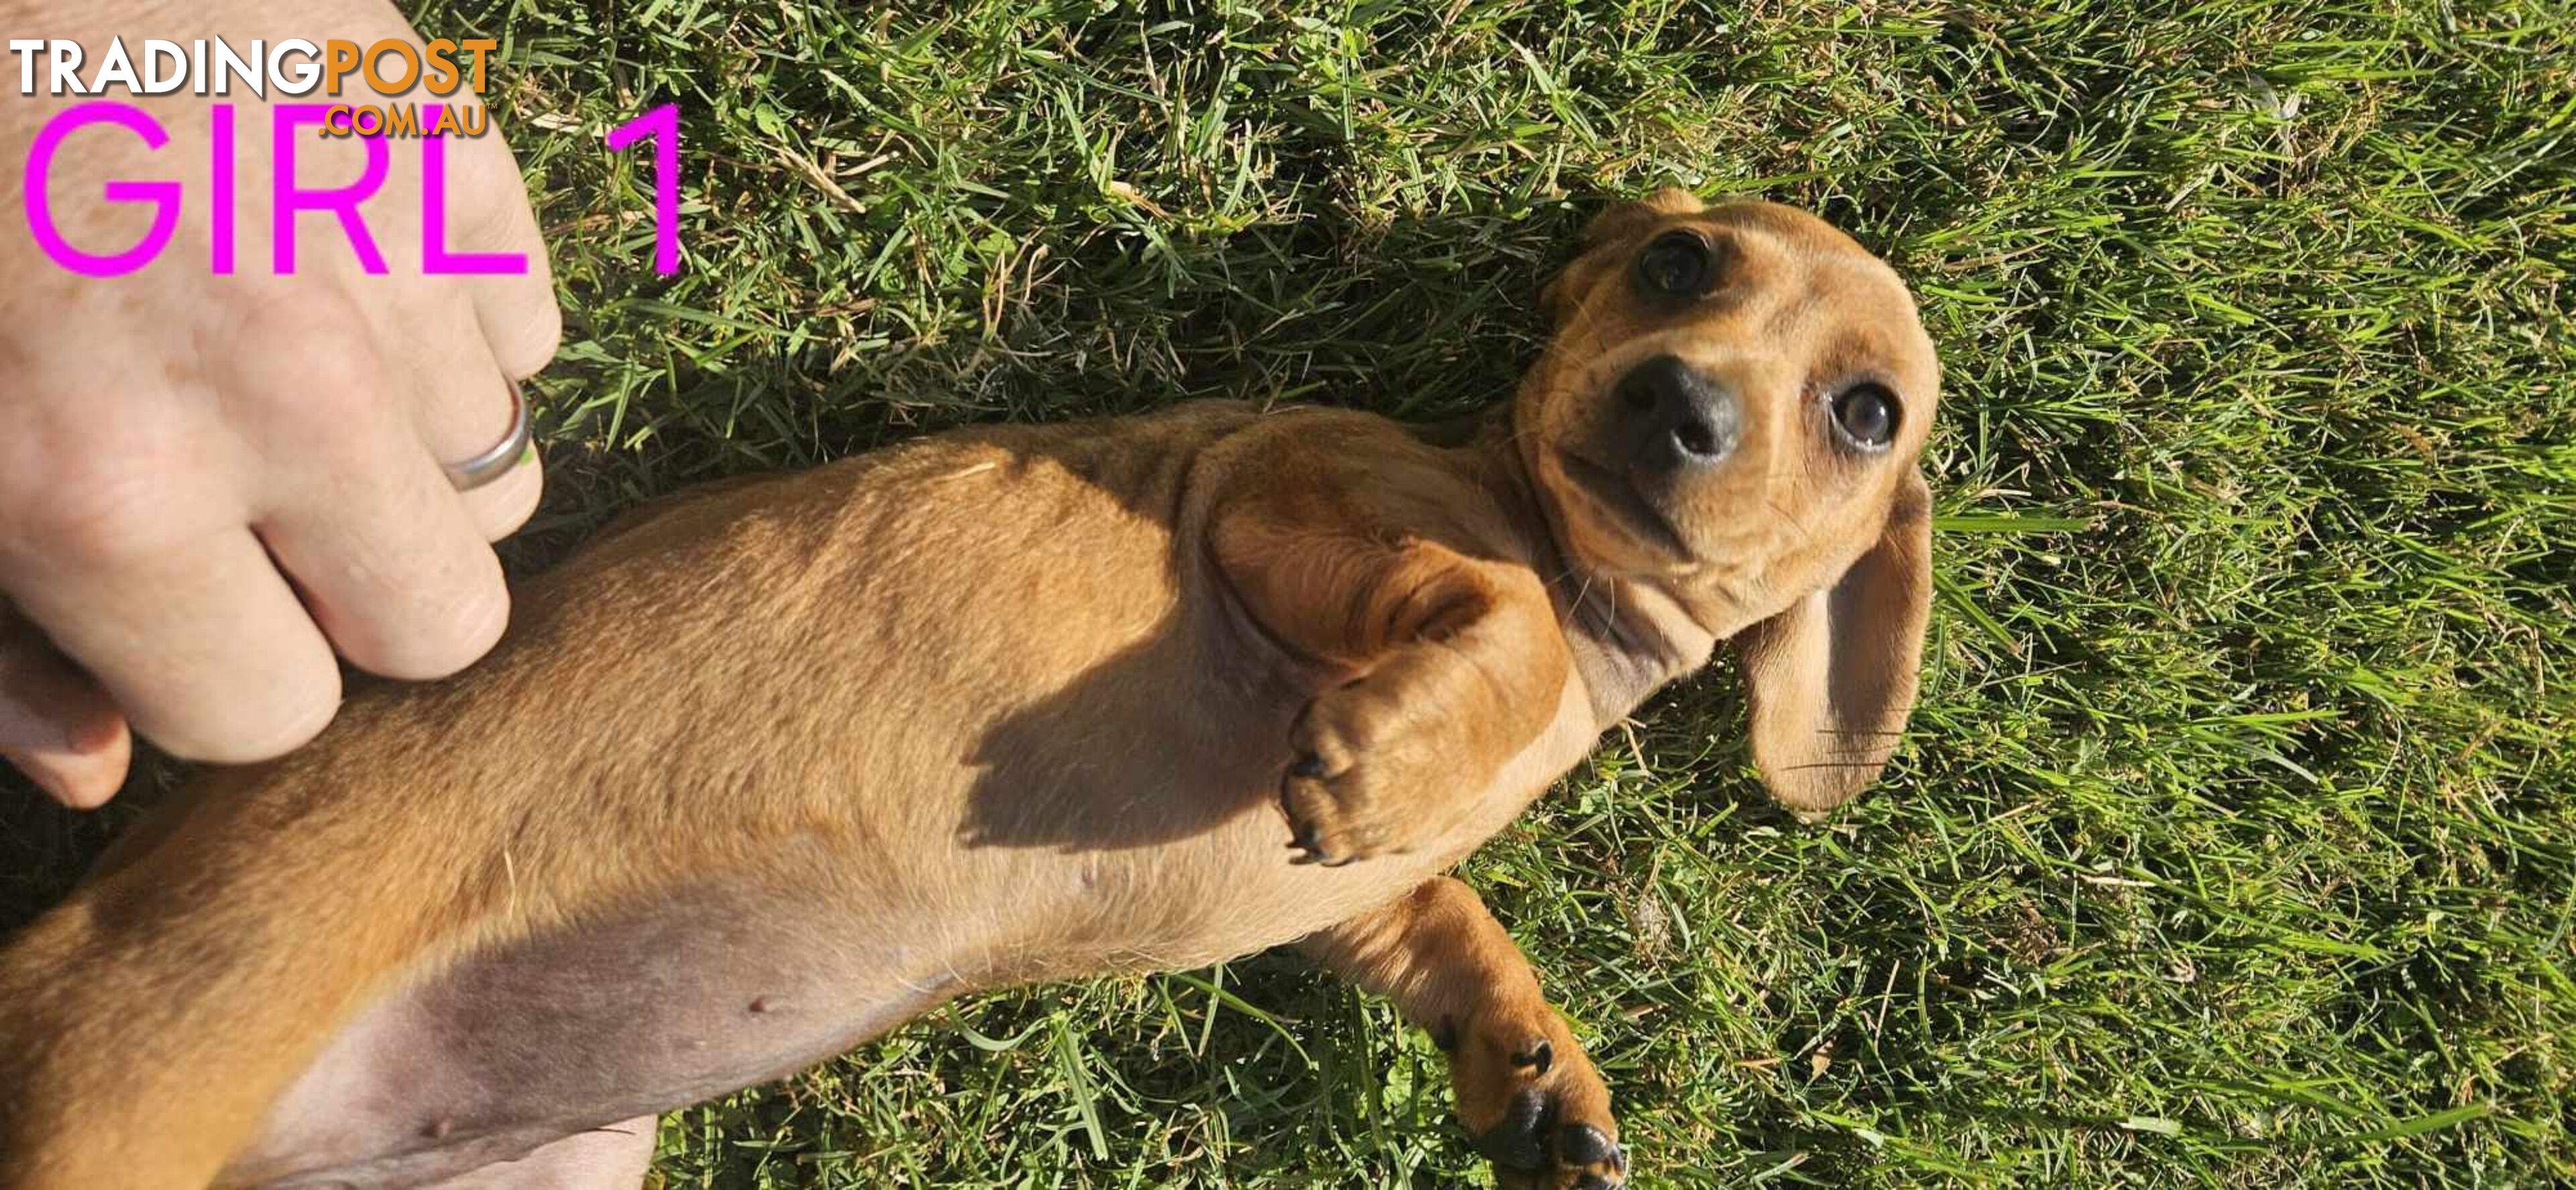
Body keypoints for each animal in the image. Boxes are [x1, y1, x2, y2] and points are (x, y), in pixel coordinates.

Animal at [0, 191, 1937, 1185]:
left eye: (1866, 409)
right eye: (1680, 263)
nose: (1676, 408)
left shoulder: (1350, 899)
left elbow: (1437, 915)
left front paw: (1531, 1061)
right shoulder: (1286, 503)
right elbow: (1501, 611)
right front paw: (1417, 739)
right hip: (143, 1059)